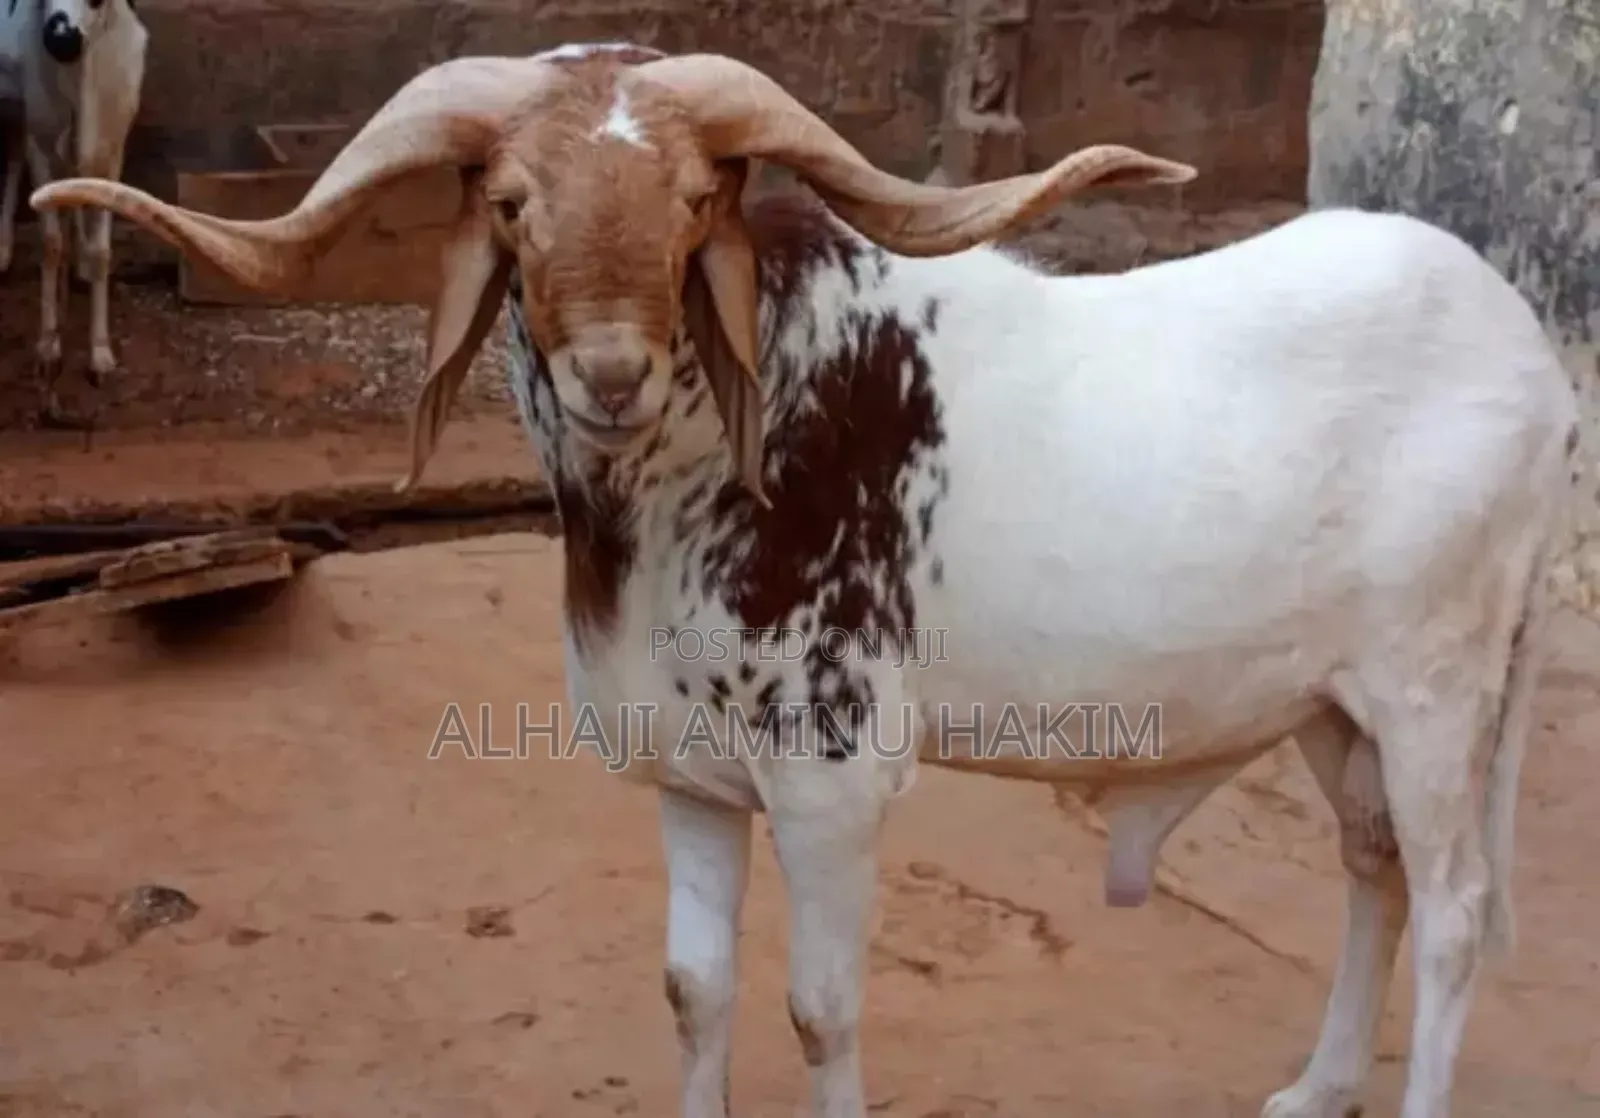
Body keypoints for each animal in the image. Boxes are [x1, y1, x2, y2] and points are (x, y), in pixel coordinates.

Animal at [0, 0, 147, 419]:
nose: (60, 38)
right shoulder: (41, 142)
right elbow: (51, 244)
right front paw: (49, 348)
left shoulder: (111, 151)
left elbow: (101, 251)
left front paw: (100, 355)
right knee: (12, 157)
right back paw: (3, 249)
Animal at [31, 43, 1580, 1118]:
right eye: (514, 204)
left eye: (696, 196)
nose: (610, 374)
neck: (704, 472)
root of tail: (1532, 359)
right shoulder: (694, 777)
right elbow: (696, 989)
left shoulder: (832, 781)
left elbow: (820, 1008)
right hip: (1334, 704)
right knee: (1375, 871)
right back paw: (1319, 1086)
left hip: (1439, 691)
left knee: (1451, 912)